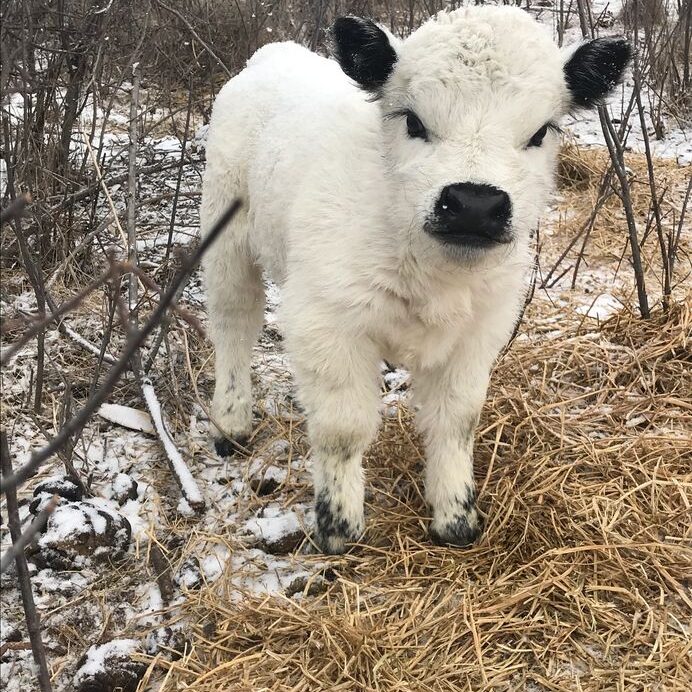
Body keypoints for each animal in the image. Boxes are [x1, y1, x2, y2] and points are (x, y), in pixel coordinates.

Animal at [200, 5, 628, 552]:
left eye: (540, 132)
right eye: (413, 120)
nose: (474, 203)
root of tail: (276, 54)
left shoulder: (479, 333)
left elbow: (456, 421)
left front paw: (456, 518)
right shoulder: (325, 322)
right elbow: (342, 429)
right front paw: (338, 527)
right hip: (225, 233)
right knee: (235, 322)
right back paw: (231, 422)